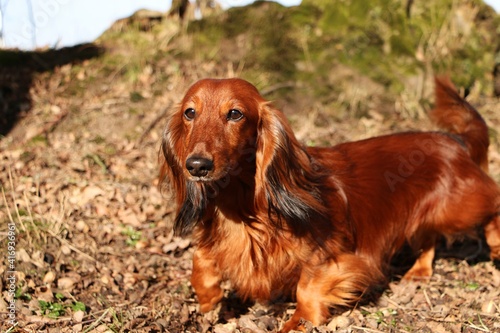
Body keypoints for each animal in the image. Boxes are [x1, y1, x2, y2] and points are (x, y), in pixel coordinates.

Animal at [160, 77, 500, 330]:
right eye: (189, 113)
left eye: (235, 114)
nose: (197, 165)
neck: (245, 206)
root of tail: (454, 141)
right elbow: (201, 262)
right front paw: (208, 301)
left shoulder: (335, 255)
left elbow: (307, 287)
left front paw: (299, 322)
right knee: (428, 238)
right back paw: (419, 270)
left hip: (458, 207)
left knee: (493, 202)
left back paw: (495, 245)